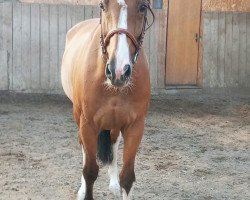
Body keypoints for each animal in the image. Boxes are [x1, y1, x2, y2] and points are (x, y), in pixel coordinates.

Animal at [61, 0, 154, 199]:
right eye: (103, 5)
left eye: (143, 6)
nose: (118, 71)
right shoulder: (88, 124)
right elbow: (89, 172)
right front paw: (85, 190)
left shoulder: (135, 126)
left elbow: (127, 177)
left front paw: (119, 184)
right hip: (79, 117)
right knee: (84, 148)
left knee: (113, 143)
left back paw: (113, 184)